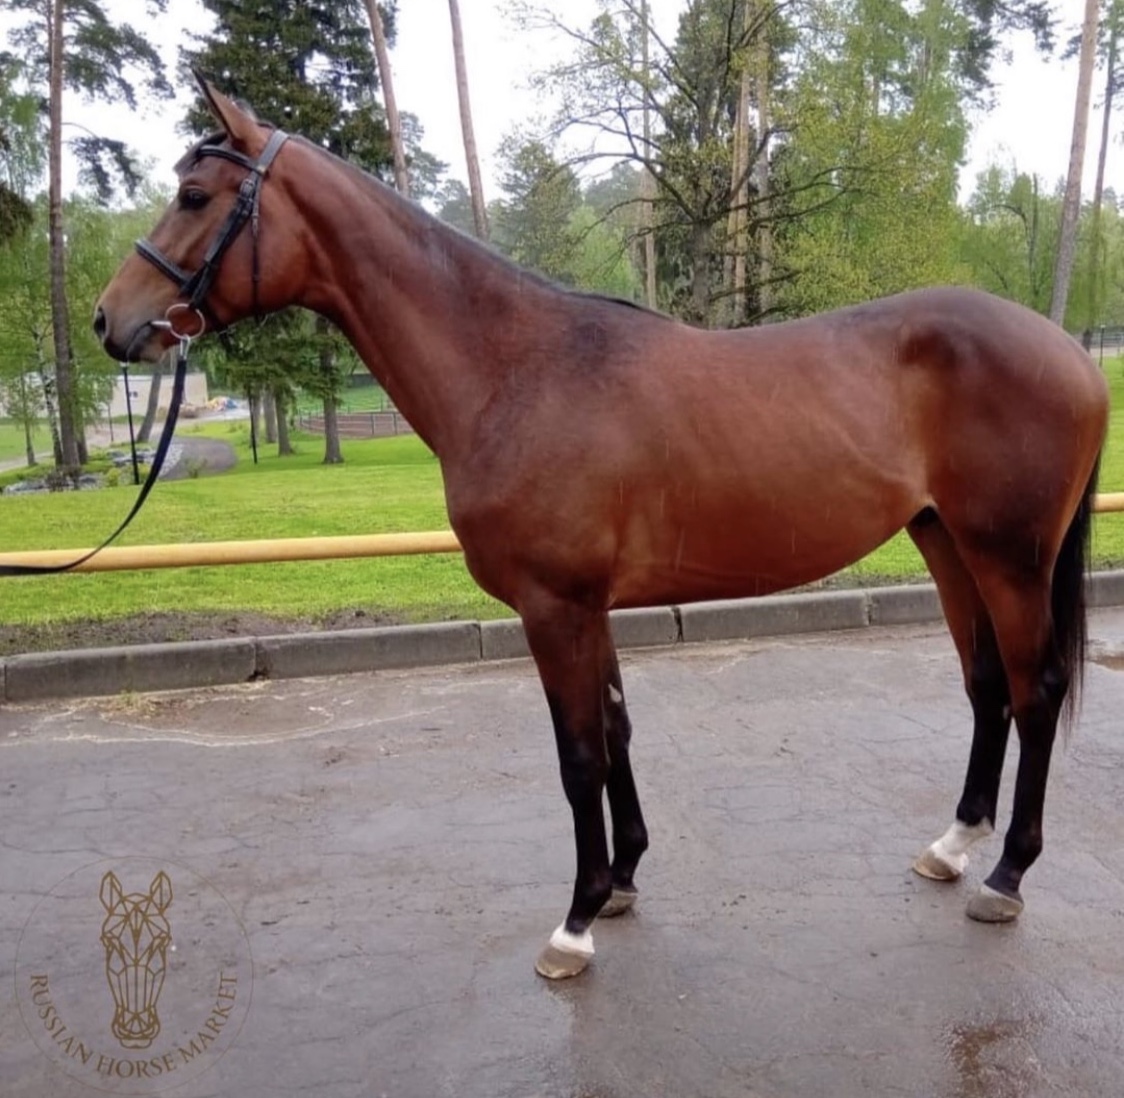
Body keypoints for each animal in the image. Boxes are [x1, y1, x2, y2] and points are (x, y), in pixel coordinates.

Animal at [95, 77, 1109, 980]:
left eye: (195, 194)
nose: (113, 321)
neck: (515, 370)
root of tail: (1072, 352)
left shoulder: (555, 607)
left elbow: (579, 754)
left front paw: (575, 923)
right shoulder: (592, 609)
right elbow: (617, 730)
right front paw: (621, 879)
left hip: (1010, 559)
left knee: (1037, 689)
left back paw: (1007, 875)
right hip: (946, 543)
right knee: (987, 687)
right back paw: (954, 845)